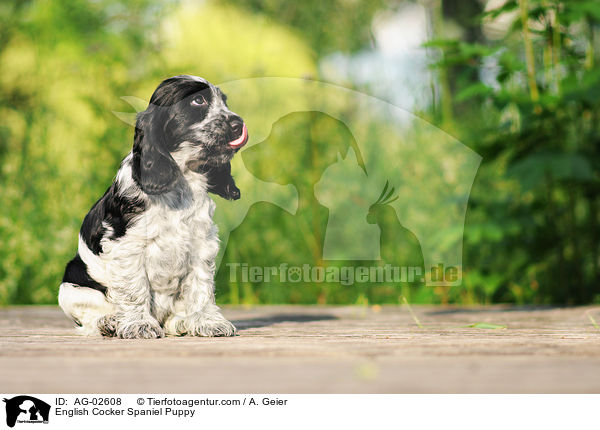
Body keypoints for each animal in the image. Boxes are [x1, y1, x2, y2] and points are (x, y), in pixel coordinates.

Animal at [58, 74, 248, 340]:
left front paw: (208, 322)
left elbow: (201, 286)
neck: (181, 180)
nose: (238, 123)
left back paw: (180, 322)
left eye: (224, 102)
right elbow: (134, 289)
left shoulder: (202, 244)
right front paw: (139, 325)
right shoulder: (128, 245)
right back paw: (109, 322)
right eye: (198, 101)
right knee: (89, 319)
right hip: (71, 287)